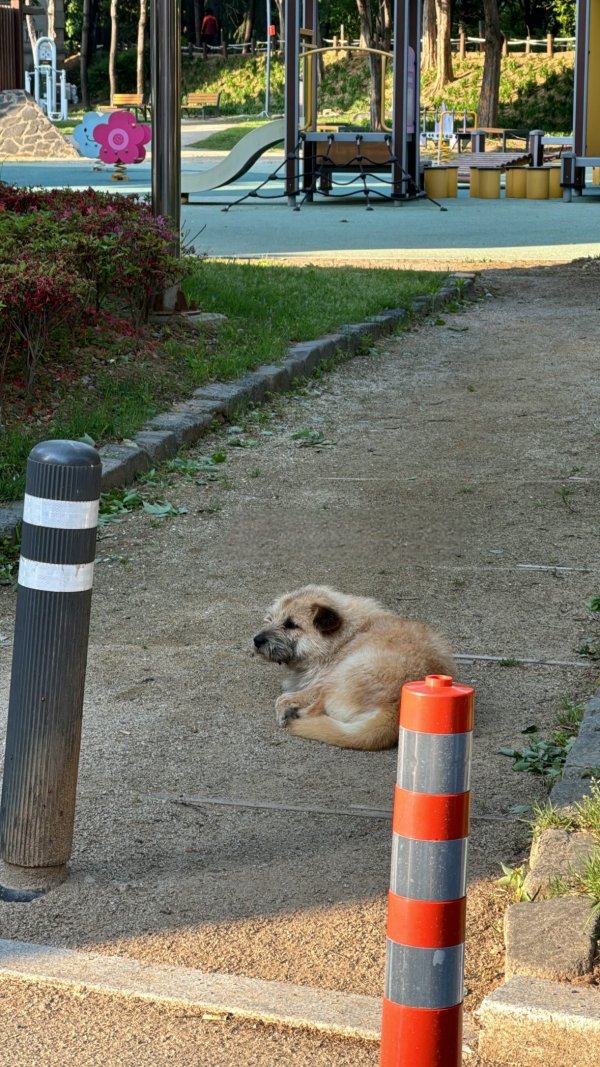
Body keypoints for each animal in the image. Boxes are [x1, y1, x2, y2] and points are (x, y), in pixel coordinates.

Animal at [249, 584, 450, 751]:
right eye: (270, 619)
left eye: (290, 624)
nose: (257, 640)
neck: (345, 638)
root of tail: (395, 707)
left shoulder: (319, 681)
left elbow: (288, 697)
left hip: (339, 676)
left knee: (314, 708)